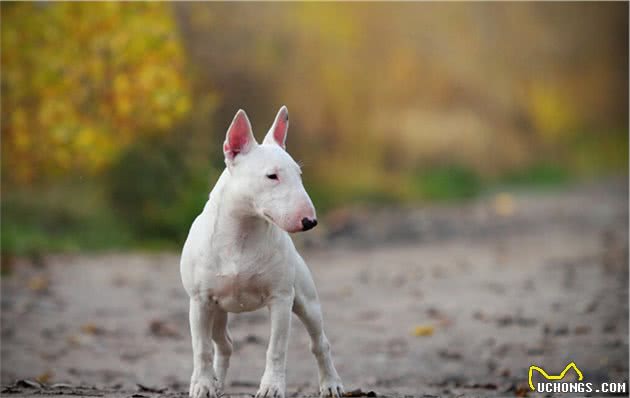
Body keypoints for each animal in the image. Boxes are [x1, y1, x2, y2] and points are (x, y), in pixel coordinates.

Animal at [178, 106, 346, 398]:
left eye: (299, 174)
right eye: (272, 176)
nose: (310, 221)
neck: (242, 233)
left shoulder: (281, 299)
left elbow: (276, 349)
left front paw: (271, 387)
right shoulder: (199, 302)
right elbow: (201, 349)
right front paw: (202, 385)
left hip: (306, 302)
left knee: (319, 342)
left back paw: (331, 383)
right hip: (217, 313)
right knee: (223, 343)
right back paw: (217, 383)